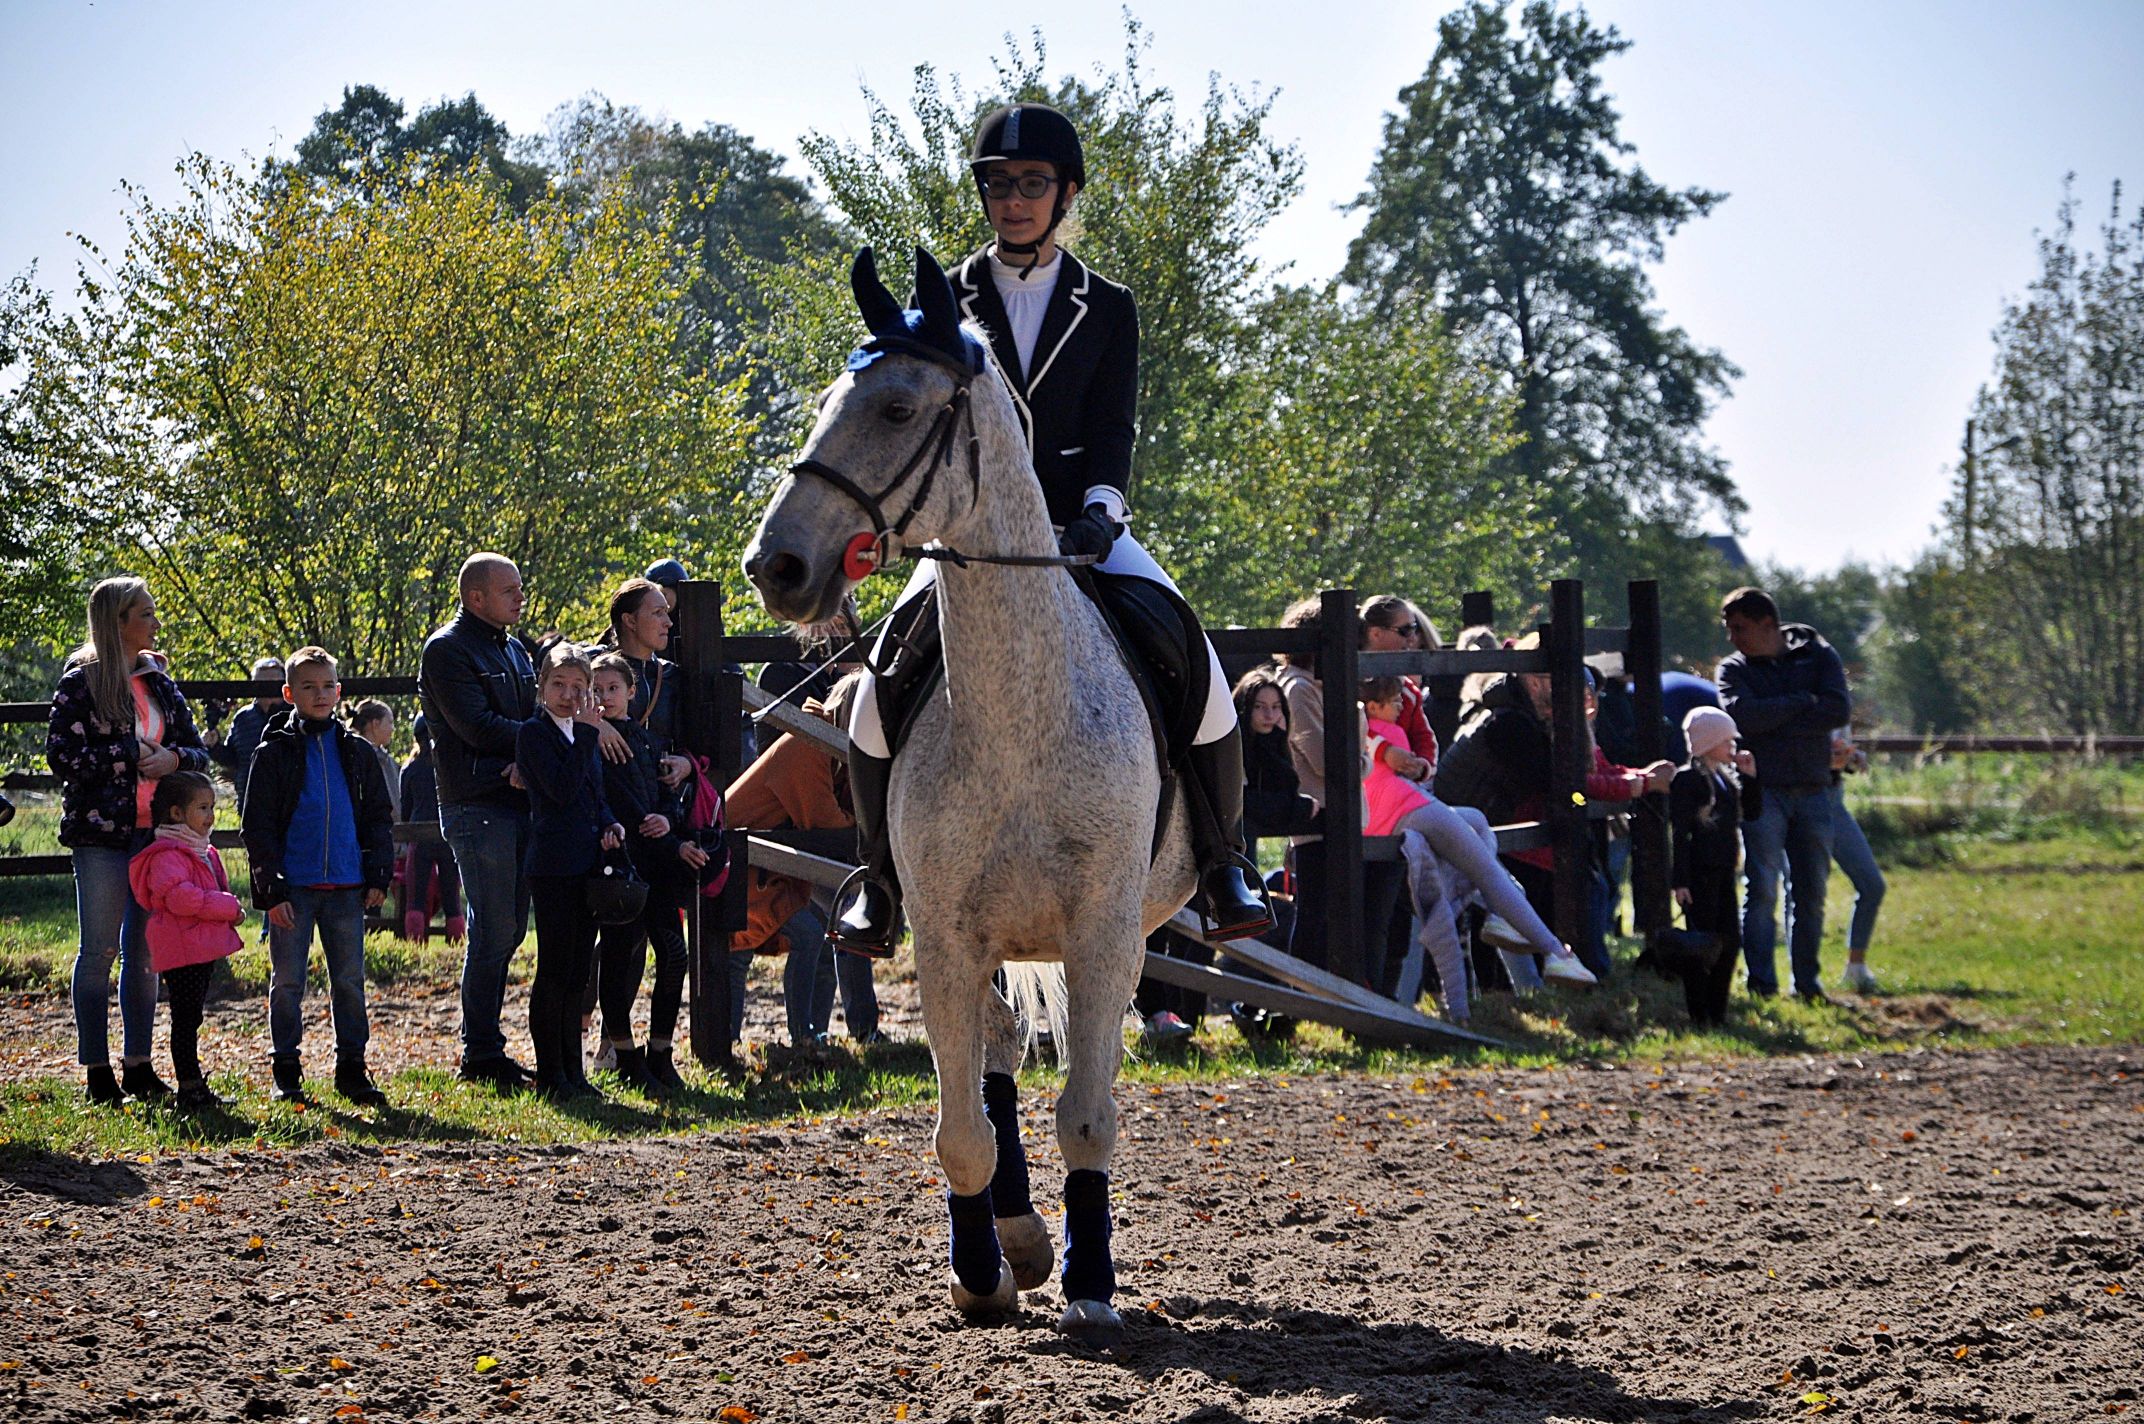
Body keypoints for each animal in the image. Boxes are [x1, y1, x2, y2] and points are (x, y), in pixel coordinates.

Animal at [746, 244, 1200, 1346]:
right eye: (825, 402)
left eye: (899, 408)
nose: (777, 566)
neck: (1019, 713)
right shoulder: (947, 931)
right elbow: (959, 1129)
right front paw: (982, 1272)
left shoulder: (1103, 934)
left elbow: (1087, 1113)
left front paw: (1090, 1281)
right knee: (992, 1058)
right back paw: (1016, 1231)